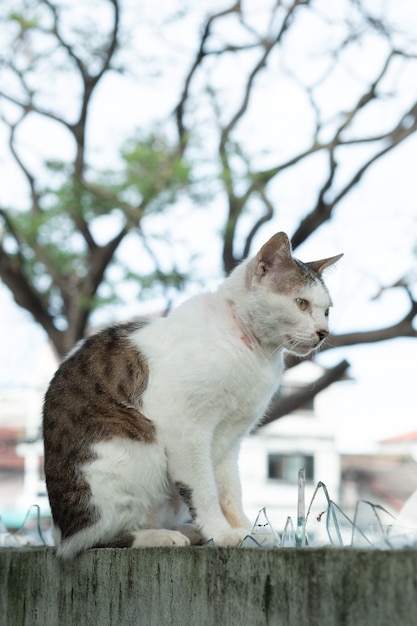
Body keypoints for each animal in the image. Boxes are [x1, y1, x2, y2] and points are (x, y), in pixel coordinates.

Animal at [42, 230, 342, 556]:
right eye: (300, 303)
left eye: (327, 311)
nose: (324, 332)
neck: (253, 352)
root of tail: (61, 532)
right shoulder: (186, 429)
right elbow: (203, 489)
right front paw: (222, 533)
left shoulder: (230, 438)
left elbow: (230, 490)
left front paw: (247, 531)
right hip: (129, 456)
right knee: (97, 540)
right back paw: (160, 536)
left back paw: (187, 530)